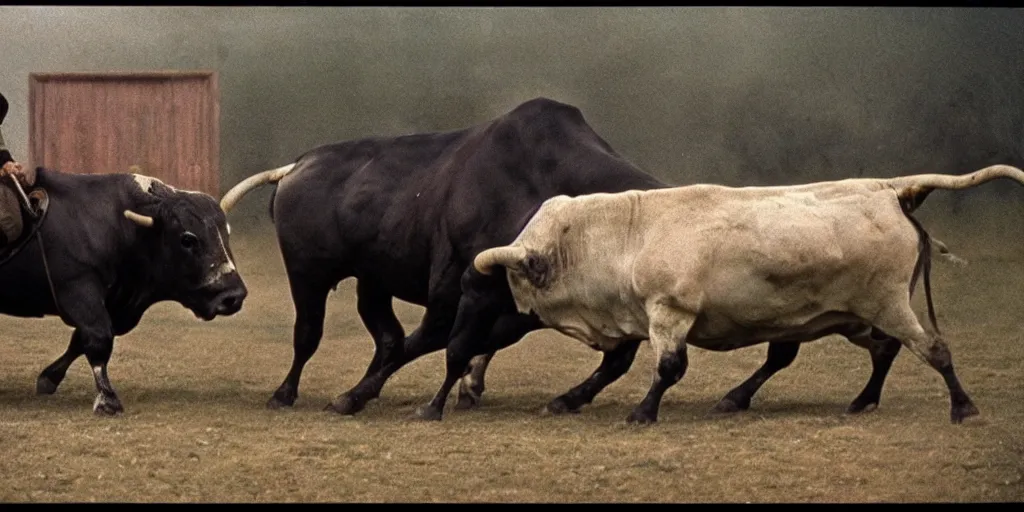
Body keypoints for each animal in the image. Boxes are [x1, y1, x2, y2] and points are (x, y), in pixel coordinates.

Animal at [0, 171, 247, 415]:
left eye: (226, 234)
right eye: (187, 239)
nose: (233, 296)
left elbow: (80, 340)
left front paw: (49, 378)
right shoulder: (78, 289)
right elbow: (99, 337)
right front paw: (107, 399)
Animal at [222, 96, 921, 419]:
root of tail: (301, 164)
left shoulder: (519, 304)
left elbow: (611, 357)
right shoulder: (460, 289)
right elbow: (438, 343)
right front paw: (368, 396)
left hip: (369, 278)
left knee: (385, 332)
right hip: (310, 273)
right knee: (312, 334)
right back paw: (288, 391)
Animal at [417, 163, 1024, 423]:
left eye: (483, 292)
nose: (454, 351)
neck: (621, 234)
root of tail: (890, 190)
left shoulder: (669, 310)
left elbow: (667, 368)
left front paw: (643, 412)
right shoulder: (635, 314)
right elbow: (615, 365)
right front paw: (569, 399)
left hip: (886, 303)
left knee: (932, 349)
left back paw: (962, 406)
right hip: (852, 313)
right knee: (881, 349)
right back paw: (854, 399)